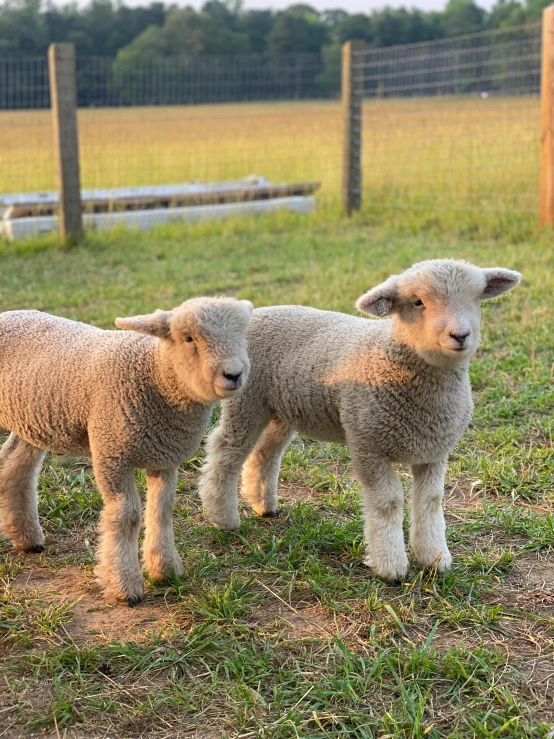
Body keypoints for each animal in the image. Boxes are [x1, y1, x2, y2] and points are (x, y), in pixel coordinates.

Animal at [0, 298, 252, 604]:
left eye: (242, 333)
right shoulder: (111, 454)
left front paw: (165, 569)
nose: (234, 374)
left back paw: (27, 538)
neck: (155, 375)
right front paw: (124, 585)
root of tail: (8, 314)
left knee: (15, 467)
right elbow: (126, 516)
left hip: (31, 421)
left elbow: (162, 510)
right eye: (188, 338)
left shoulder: (163, 458)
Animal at [198, 262, 516, 584]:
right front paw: (392, 567)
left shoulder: (434, 451)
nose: (460, 335)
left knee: (265, 452)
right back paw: (223, 517)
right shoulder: (367, 445)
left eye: (476, 298)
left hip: (281, 409)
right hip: (246, 401)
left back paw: (264, 505)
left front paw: (434, 559)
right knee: (226, 452)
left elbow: (431, 501)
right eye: (418, 302)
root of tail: (256, 313)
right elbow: (388, 502)